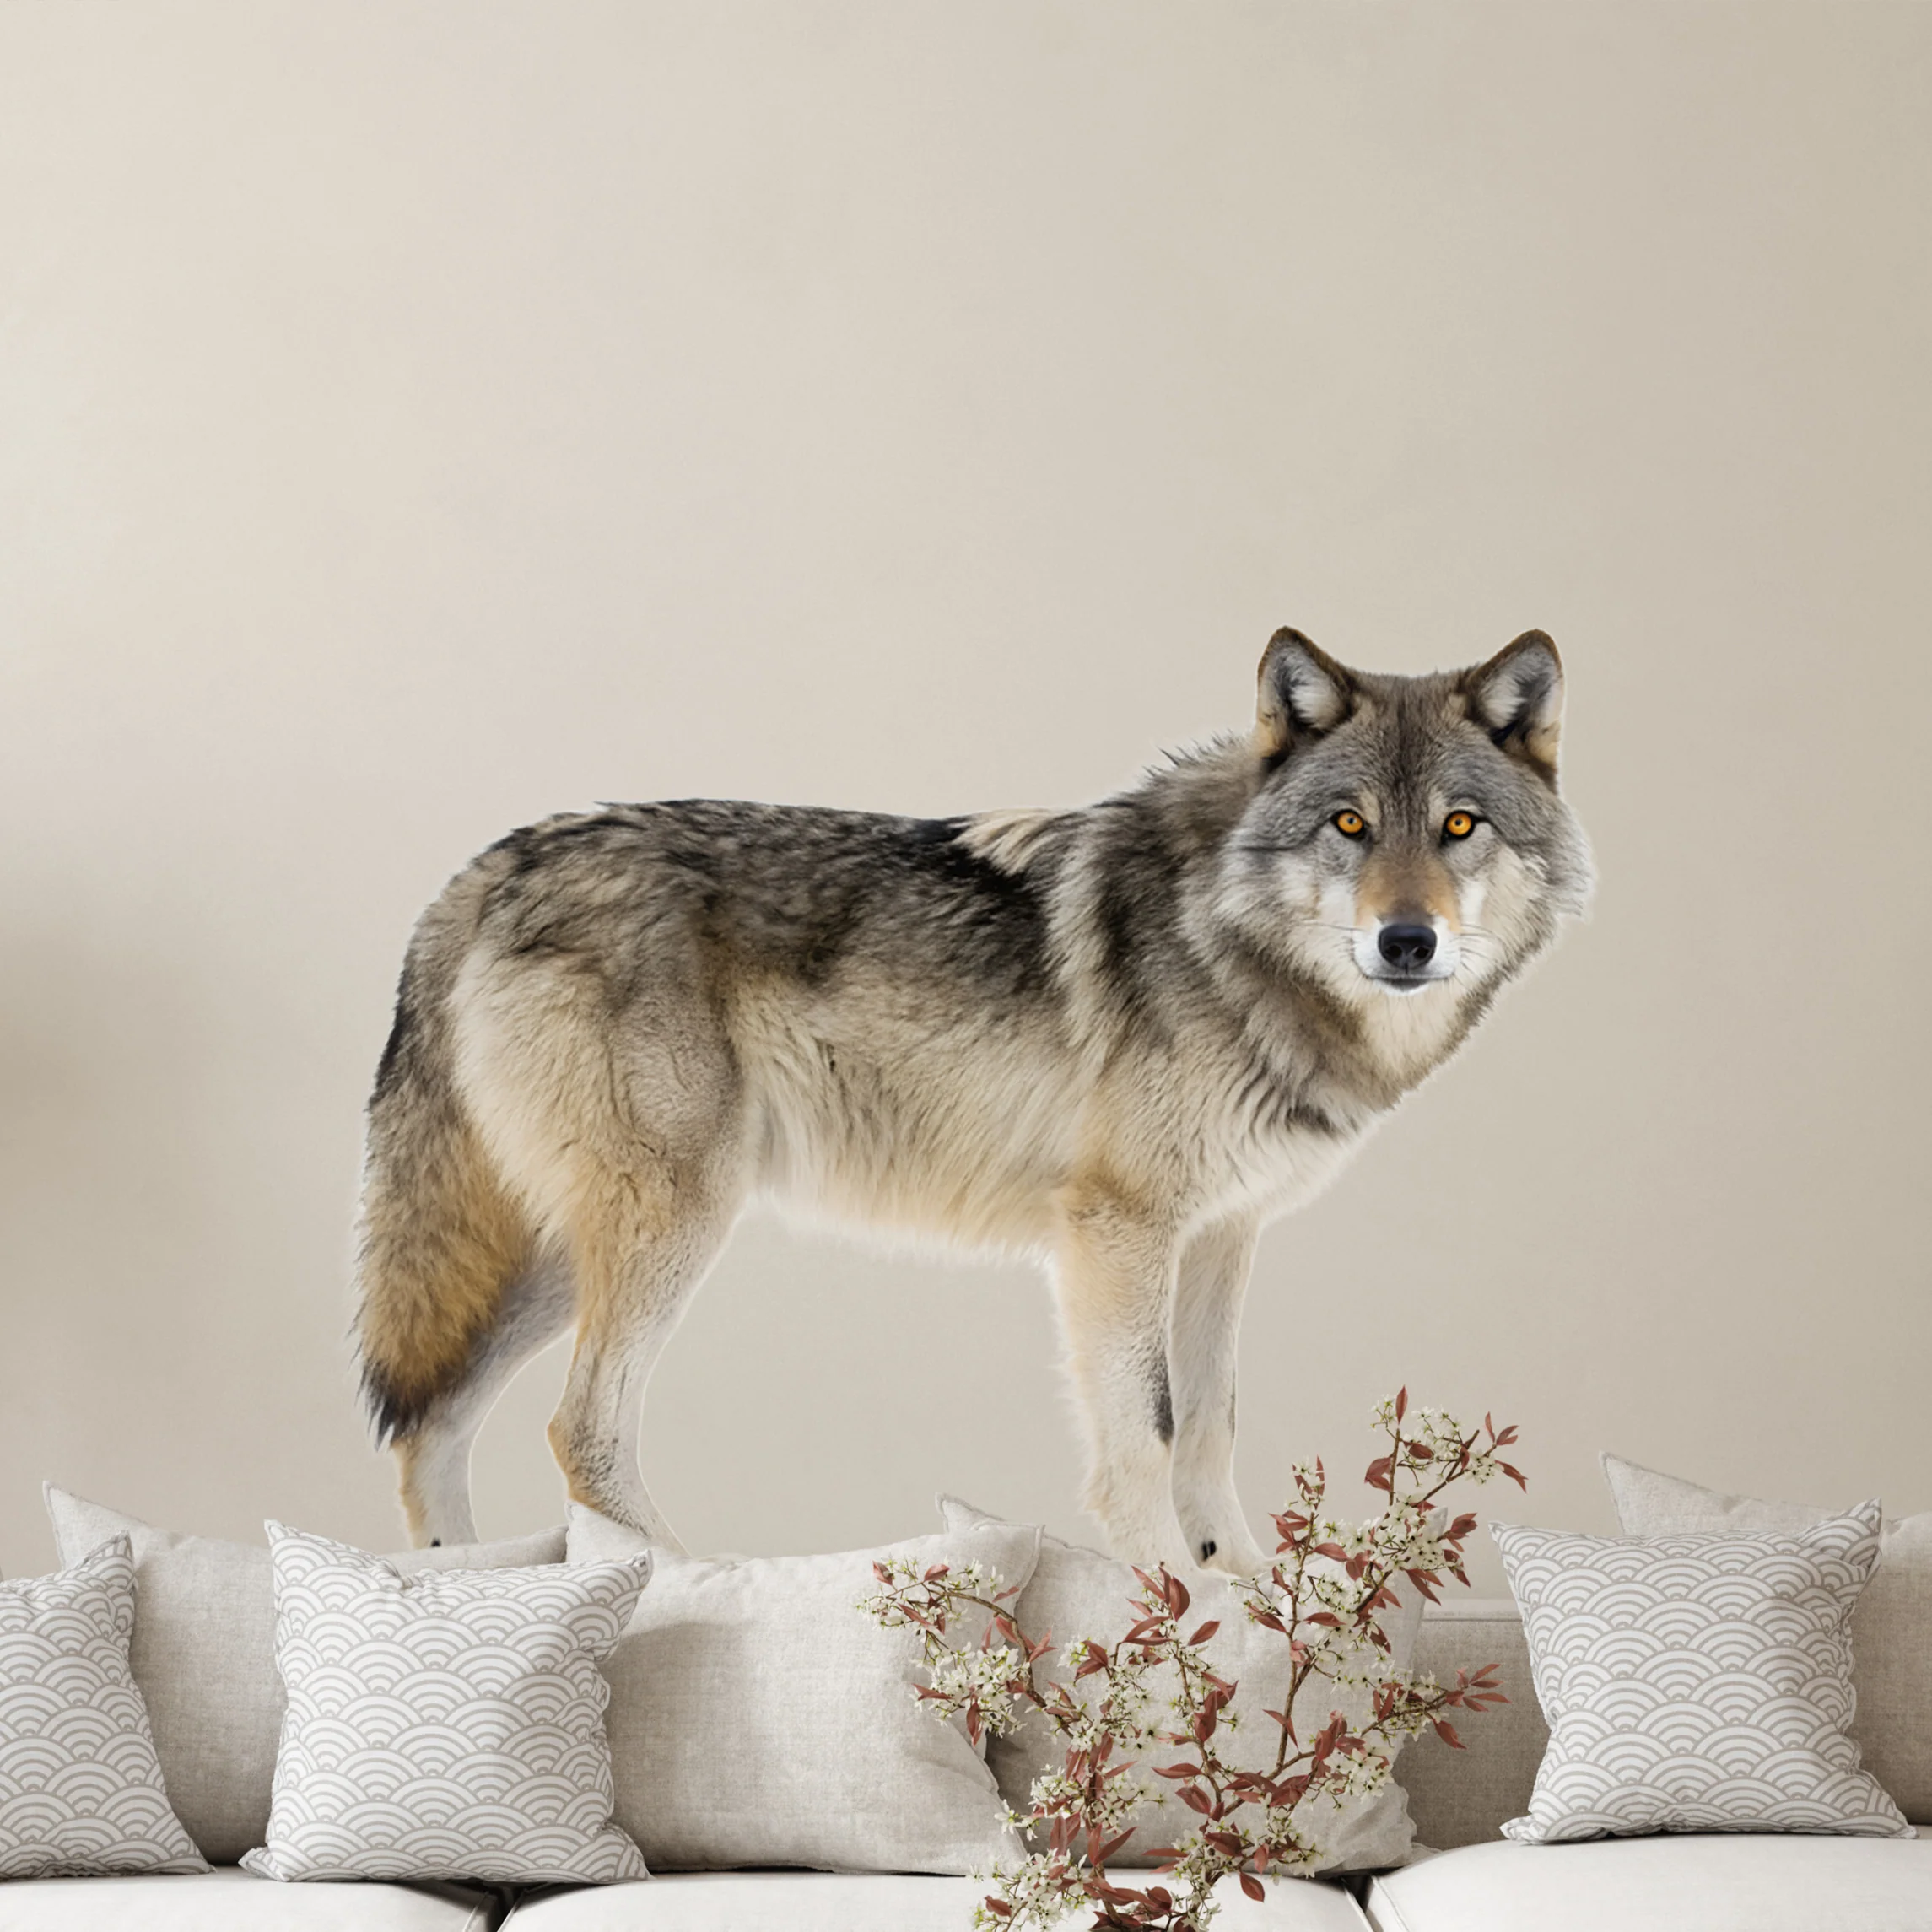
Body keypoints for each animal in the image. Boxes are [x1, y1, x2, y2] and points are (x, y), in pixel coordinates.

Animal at [354, 629, 1591, 1573]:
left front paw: (1252, 1600)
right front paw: (1175, 1608)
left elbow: (1209, 1426)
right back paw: (703, 1587)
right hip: (668, 1224)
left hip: (560, 1254)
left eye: (1458, 826)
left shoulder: (1220, 1234)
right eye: (1348, 825)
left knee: (432, 1427)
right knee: (579, 1430)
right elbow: (1145, 1434)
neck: (1228, 939)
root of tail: (480, 870)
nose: (1405, 940)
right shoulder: (1116, 1231)